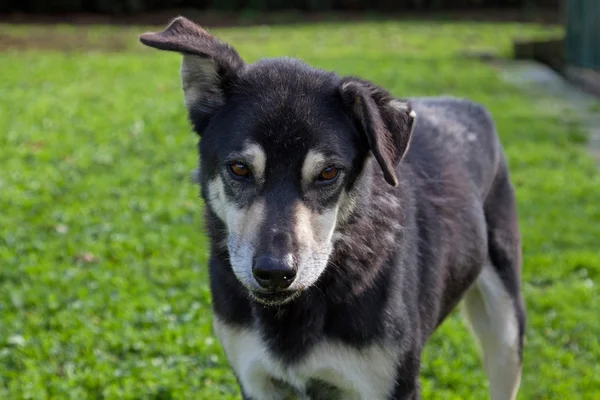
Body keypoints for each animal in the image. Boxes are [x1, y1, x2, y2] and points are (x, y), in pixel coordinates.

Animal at [141, 16, 524, 400]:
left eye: (328, 173)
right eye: (239, 168)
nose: (275, 273)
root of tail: (465, 105)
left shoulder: (388, 385)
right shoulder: (257, 382)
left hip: (506, 332)